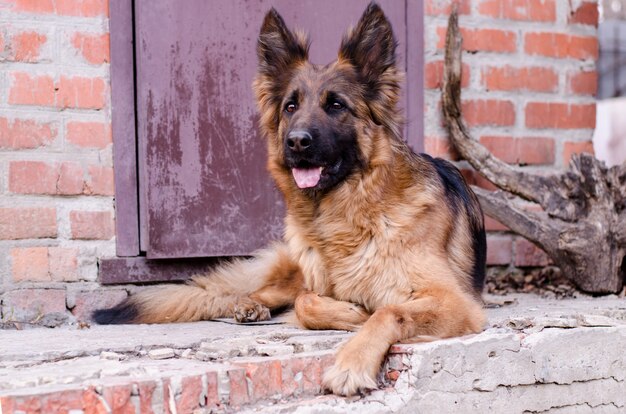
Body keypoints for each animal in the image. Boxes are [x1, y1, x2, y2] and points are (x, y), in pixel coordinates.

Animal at [95, 4, 486, 398]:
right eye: (290, 106)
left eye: (336, 105)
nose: (296, 142)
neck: (344, 215)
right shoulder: (319, 286)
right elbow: (309, 302)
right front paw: (351, 313)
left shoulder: (454, 301)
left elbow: (388, 311)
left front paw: (352, 363)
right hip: (297, 266)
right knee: (274, 291)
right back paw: (249, 304)